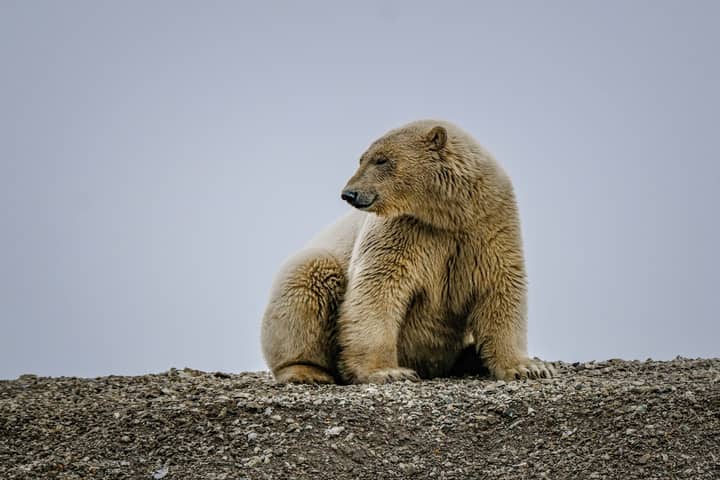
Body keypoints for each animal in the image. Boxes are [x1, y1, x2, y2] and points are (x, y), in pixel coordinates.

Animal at [261, 119, 555, 384]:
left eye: (381, 160)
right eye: (362, 159)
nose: (349, 193)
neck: (447, 215)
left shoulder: (489, 224)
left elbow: (500, 286)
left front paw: (528, 367)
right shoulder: (401, 230)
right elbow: (377, 289)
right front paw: (388, 372)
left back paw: (472, 356)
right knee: (308, 279)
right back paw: (306, 372)